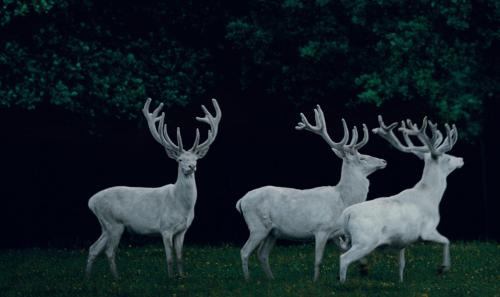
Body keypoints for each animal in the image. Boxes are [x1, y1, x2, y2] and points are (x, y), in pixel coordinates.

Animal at [85, 97, 221, 278]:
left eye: (196, 159)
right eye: (180, 160)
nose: (191, 166)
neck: (182, 206)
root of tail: (91, 201)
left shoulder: (182, 230)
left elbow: (180, 256)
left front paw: (182, 277)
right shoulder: (165, 228)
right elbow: (169, 257)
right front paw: (170, 278)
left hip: (105, 225)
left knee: (94, 248)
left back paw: (87, 277)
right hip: (114, 223)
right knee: (109, 251)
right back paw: (116, 278)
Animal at [235, 105, 386, 280]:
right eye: (362, 158)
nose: (383, 161)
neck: (343, 200)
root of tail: (241, 201)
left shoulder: (335, 232)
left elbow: (346, 250)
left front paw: (364, 268)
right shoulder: (321, 228)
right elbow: (318, 259)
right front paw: (315, 281)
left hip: (272, 232)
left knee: (262, 254)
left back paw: (271, 279)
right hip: (257, 226)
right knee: (245, 251)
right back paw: (248, 279)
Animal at [338, 114, 462, 282]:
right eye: (448, 158)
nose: (461, 159)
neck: (431, 197)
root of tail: (347, 214)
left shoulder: (403, 240)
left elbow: (402, 264)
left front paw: (400, 281)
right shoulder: (427, 230)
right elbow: (447, 241)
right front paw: (443, 268)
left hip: (354, 239)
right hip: (365, 240)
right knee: (344, 258)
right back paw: (343, 283)